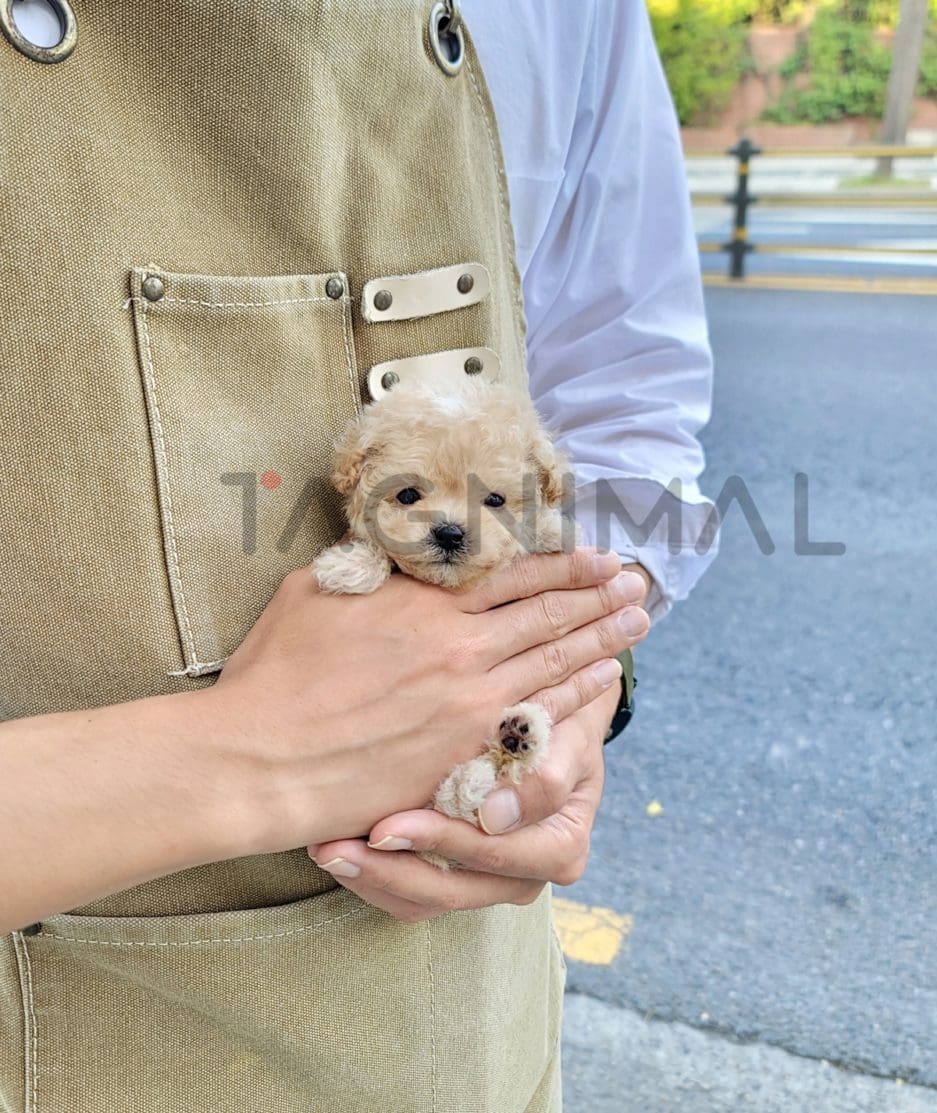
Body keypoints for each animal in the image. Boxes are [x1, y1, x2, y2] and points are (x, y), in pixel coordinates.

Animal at [313, 378, 574, 863]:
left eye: (495, 500)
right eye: (407, 495)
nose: (450, 533)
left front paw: (553, 531)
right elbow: (376, 549)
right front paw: (350, 567)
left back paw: (518, 737)